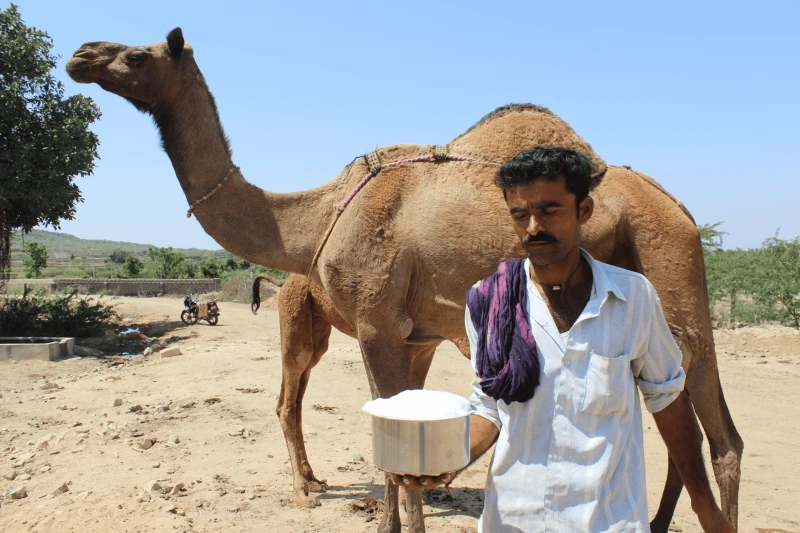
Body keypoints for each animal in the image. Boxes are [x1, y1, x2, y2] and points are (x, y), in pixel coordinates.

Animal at [66, 28, 742, 533]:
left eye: (137, 54)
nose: (81, 54)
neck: (315, 219)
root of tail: (680, 210)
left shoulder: (378, 324)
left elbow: (399, 446)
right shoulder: (410, 332)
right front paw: (385, 518)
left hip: (674, 280)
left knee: (719, 436)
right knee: (697, 427)